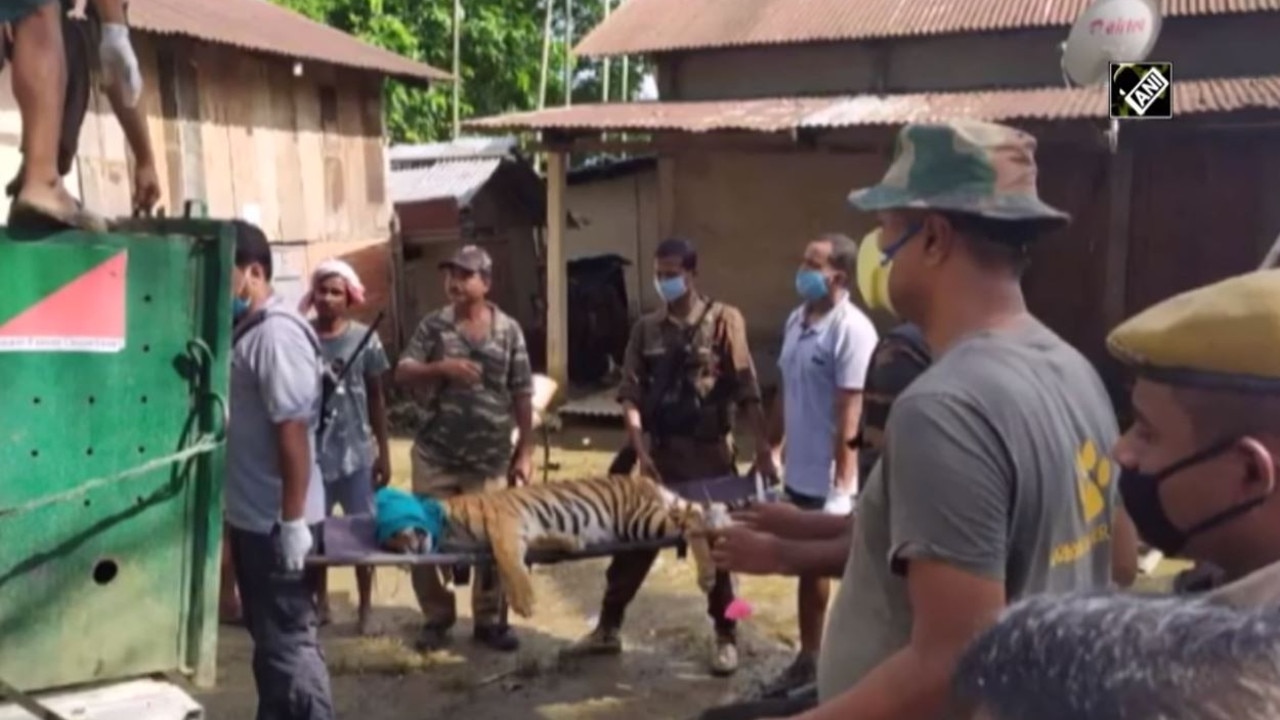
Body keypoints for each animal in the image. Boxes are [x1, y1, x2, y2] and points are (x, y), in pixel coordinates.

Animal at [373, 471, 737, 617]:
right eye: (391, 542)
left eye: (396, 533)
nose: (407, 551)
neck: (446, 529)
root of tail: (646, 480)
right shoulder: (523, 531)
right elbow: (523, 553)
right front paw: (572, 541)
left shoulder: (506, 526)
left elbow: (508, 561)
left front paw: (523, 602)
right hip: (651, 516)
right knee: (698, 514)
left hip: (639, 519)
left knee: (694, 523)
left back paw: (707, 575)